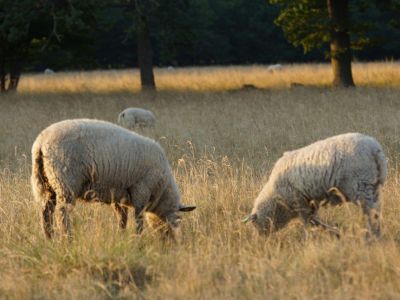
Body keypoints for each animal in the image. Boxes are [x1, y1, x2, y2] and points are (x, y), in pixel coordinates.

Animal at [31, 119, 195, 239]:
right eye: (177, 219)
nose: (170, 242)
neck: (162, 189)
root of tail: (41, 142)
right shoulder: (141, 189)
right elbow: (138, 218)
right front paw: (138, 239)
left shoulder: (119, 195)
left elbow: (122, 218)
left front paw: (121, 235)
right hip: (66, 182)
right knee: (62, 213)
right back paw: (68, 238)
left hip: (45, 184)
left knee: (46, 212)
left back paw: (49, 238)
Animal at [244, 134, 388, 239]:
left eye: (256, 225)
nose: (261, 240)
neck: (275, 197)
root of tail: (375, 149)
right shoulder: (310, 203)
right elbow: (315, 220)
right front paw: (334, 231)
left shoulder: (300, 202)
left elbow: (308, 222)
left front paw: (310, 237)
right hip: (372, 187)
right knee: (376, 211)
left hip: (361, 186)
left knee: (372, 212)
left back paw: (373, 234)